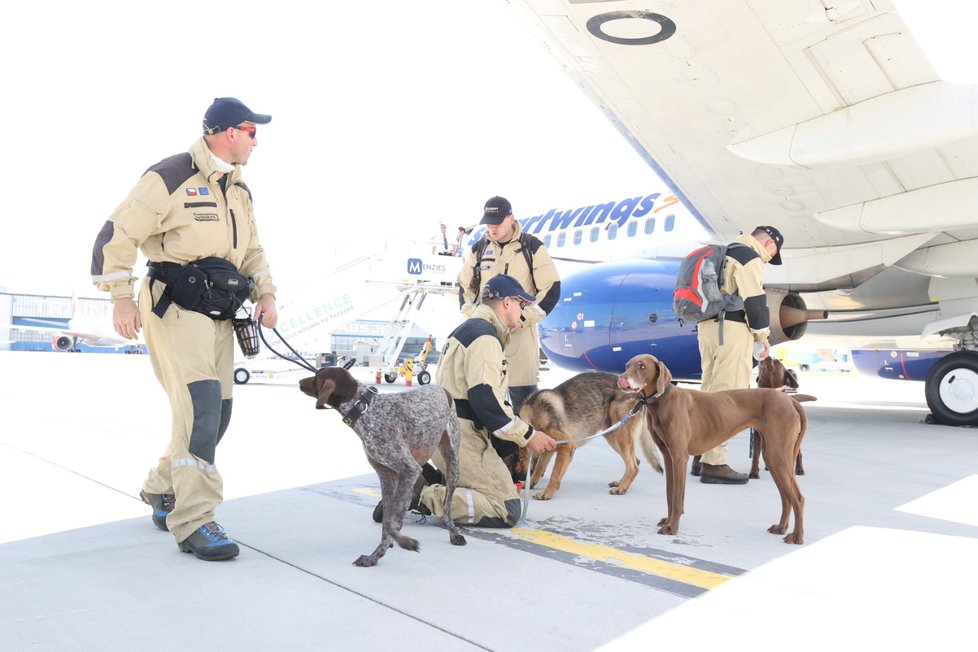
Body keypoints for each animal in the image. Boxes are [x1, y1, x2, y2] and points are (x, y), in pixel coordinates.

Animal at [516, 372, 660, 500]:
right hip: (612, 436)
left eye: (516, 459)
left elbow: (554, 475)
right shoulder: (549, 449)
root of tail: (639, 394)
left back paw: (621, 489)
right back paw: (620, 483)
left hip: (620, 436)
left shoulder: (567, 447)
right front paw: (531, 483)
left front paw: (547, 492)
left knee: (633, 466)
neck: (531, 421)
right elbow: (539, 468)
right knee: (636, 461)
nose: (519, 476)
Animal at [616, 354, 816, 544]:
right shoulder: (668, 456)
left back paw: (797, 536)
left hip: (778, 457)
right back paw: (781, 528)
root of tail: (790, 400)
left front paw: (672, 527)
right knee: (786, 497)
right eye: (627, 365)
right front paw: (668, 520)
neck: (662, 400)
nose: (621, 379)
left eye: (642, 366)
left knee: (798, 498)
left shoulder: (679, 457)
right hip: (773, 458)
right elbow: (670, 495)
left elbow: (677, 497)